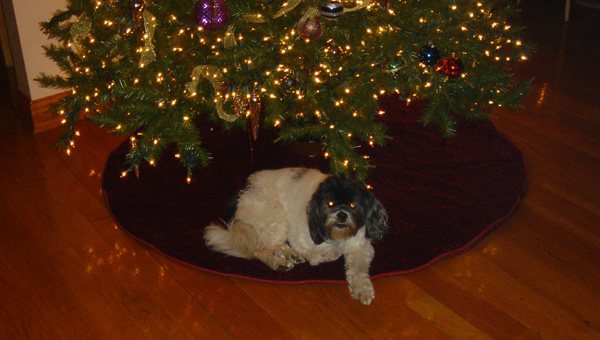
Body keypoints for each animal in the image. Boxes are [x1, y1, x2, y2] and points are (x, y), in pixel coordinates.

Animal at [202, 169, 390, 304]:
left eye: (353, 205)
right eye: (330, 204)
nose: (342, 215)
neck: (336, 235)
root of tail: (241, 195)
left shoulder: (361, 246)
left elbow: (359, 269)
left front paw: (362, 289)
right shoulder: (301, 237)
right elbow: (316, 255)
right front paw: (328, 255)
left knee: (270, 244)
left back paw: (289, 255)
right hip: (275, 214)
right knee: (259, 248)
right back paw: (278, 262)